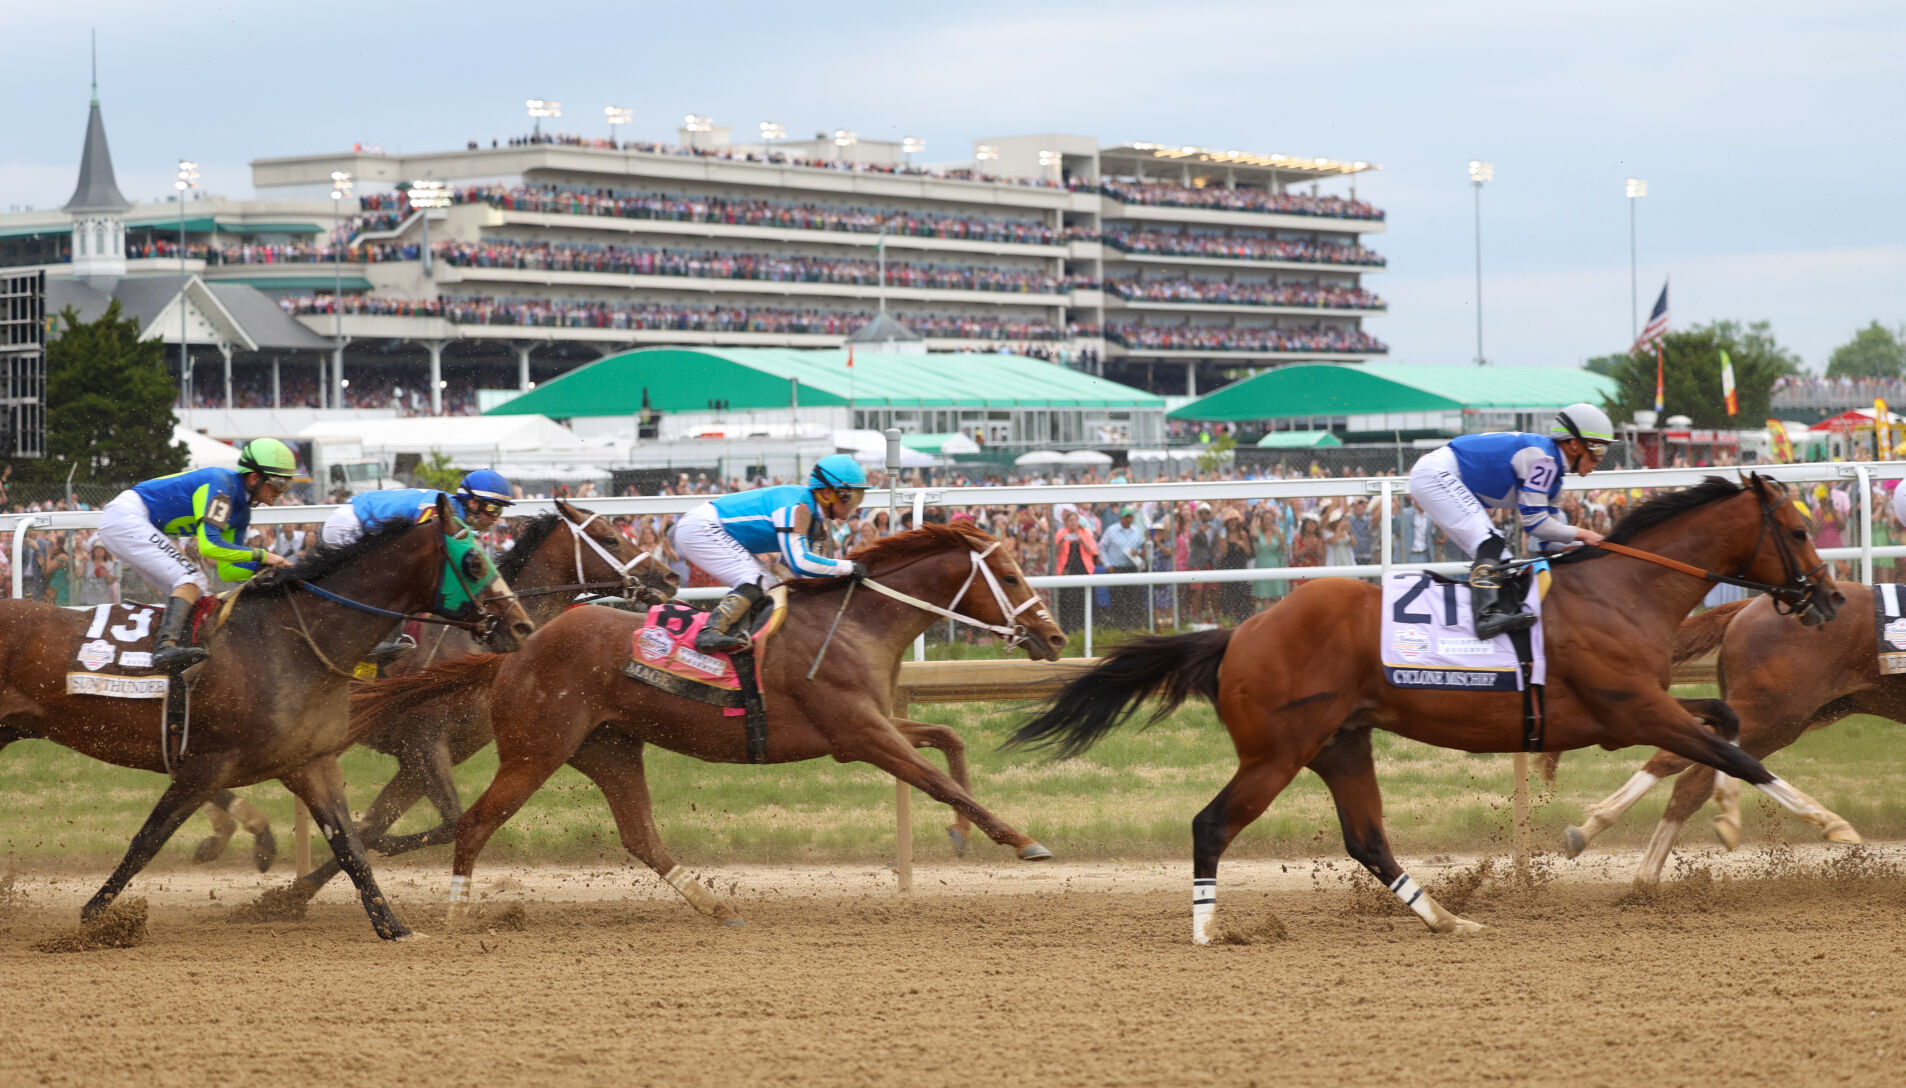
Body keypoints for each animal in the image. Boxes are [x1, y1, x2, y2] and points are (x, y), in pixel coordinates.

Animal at [0, 495, 534, 940]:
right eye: (474, 560)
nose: (521, 625)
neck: (289, 644)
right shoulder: (207, 762)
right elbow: (148, 839)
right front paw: (95, 918)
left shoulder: (312, 762)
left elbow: (351, 848)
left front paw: (393, 926)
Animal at [192, 499, 678, 879]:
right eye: (611, 539)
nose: (669, 577)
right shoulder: (425, 741)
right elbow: (443, 824)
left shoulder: (423, 757)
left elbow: (374, 827)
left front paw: (284, 901)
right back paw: (233, 837)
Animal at [348, 520, 1068, 925]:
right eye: (1009, 575)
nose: (1055, 636)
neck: (854, 625)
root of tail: (517, 648)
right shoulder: (861, 735)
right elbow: (938, 779)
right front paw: (1023, 840)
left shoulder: (870, 727)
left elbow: (948, 741)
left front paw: (963, 834)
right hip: (535, 750)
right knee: (472, 822)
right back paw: (455, 914)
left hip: (608, 748)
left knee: (641, 837)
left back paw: (715, 905)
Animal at [1006, 475, 1844, 944]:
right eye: (1800, 529)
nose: (1831, 598)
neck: (1624, 590)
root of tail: (1239, 631)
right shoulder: (1630, 709)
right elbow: (1731, 747)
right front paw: (1836, 827)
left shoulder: (1630, 709)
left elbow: (1724, 726)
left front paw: (1724, 819)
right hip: (1277, 752)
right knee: (1212, 825)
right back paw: (1209, 930)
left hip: (1341, 743)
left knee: (1369, 841)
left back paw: (1450, 919)